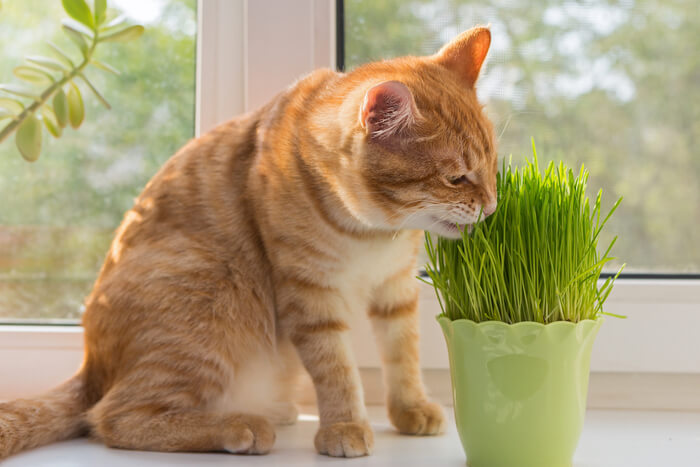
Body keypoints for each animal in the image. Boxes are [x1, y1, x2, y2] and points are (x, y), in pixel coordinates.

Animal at [0, 26, 498, 460]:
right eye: (457, 178)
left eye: (493, 165)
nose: (492, 207)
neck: (372, 233)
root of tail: (92, 365)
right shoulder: (310, 296)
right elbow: (336, 368)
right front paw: (344, 425)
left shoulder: (395, 290)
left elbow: (403, 354)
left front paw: (409, 408)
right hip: (211, 290)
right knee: (115, 417)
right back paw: (239, 426)